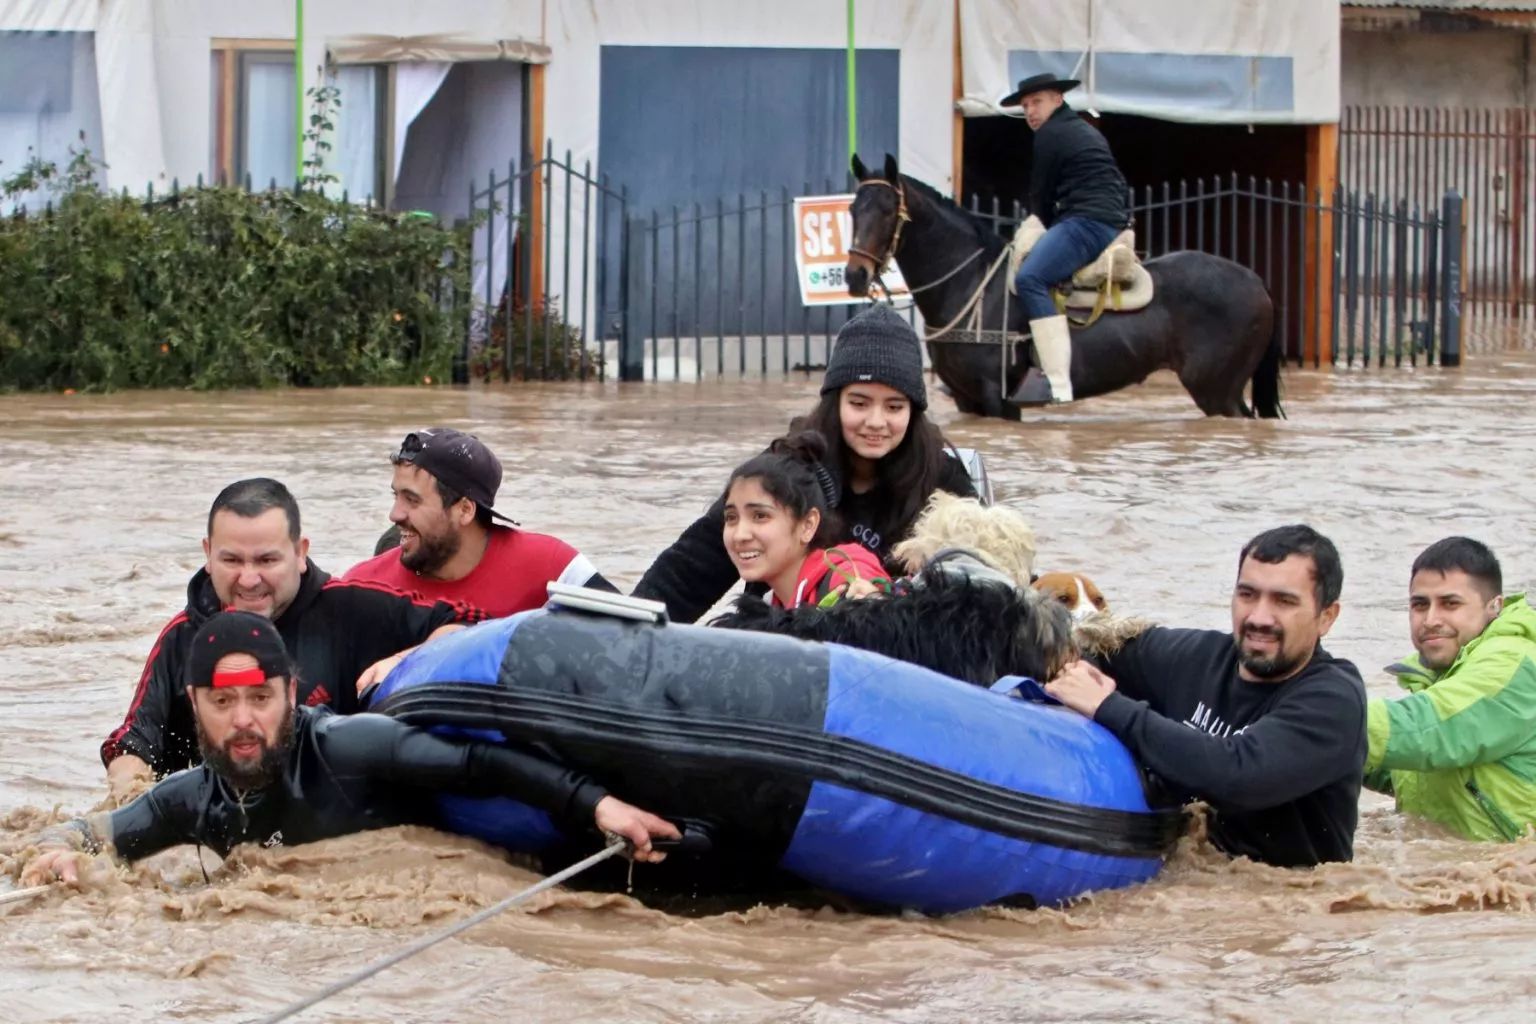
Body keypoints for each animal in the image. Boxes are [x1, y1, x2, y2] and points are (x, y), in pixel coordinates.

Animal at [841, 153, 1284, 423]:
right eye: (852, 208)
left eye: (888, 210)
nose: (855, 275)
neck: (971, 285)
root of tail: (1257, 282)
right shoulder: (968, 400)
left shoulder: (998, 399)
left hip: (1217, 391)